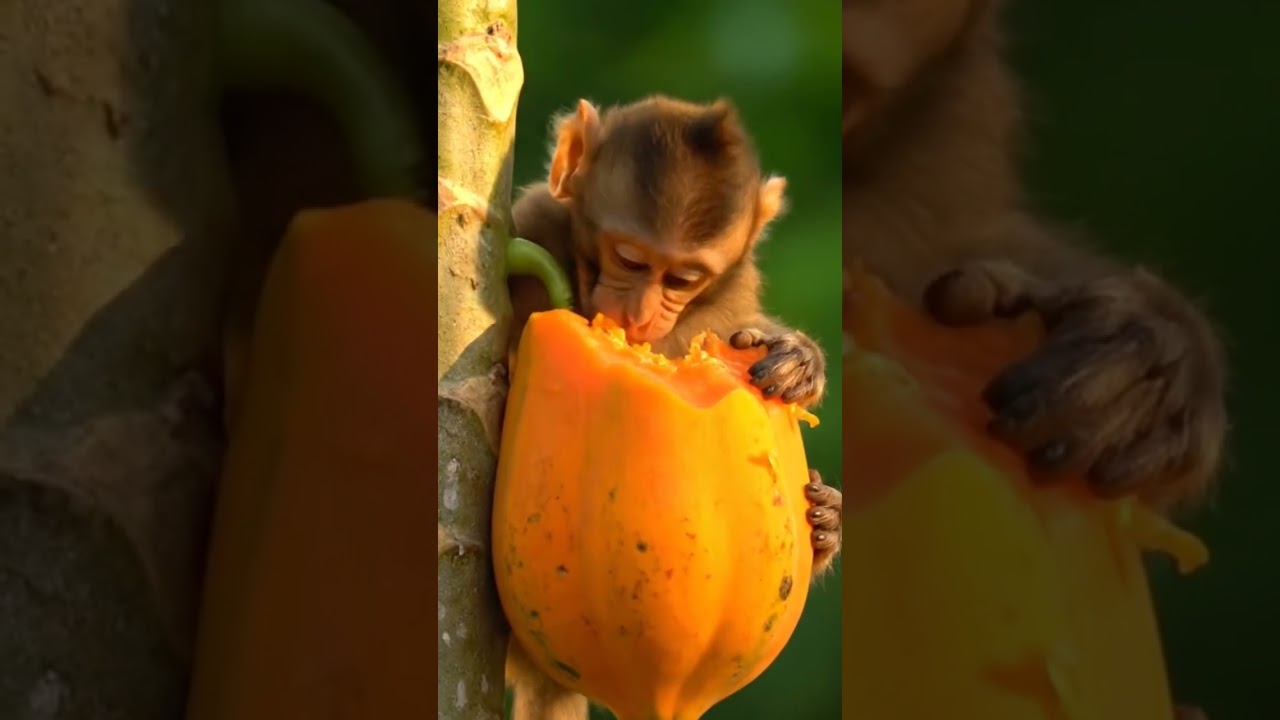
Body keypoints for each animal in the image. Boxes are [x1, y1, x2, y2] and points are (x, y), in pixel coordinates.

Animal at [502, 95, 844, 720]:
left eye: (684, 279)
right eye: (629, 259)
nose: (640, 313)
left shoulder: (728, 302)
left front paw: (799, 361)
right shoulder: (532, 223)